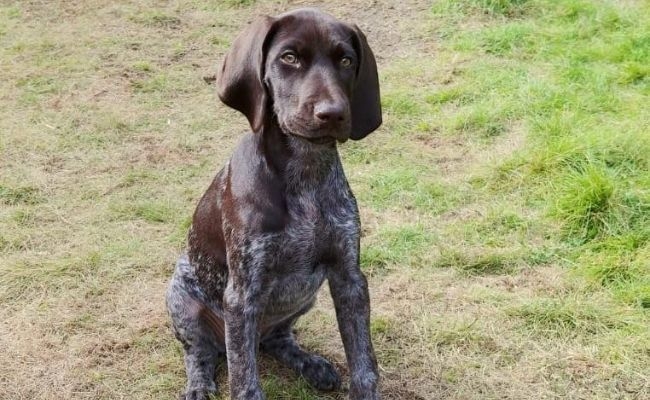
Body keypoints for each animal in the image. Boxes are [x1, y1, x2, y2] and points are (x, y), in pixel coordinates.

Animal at [165, 7, 382, 400]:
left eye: (346, 60)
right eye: (289, 57)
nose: (332, 113)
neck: (305, 174)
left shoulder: (349, 277)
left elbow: (364, 363)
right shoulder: (242, 296)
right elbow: (245, 383)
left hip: (303, 298)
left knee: (276, 339)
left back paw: (310, 364)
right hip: (180, 297)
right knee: (200, 352)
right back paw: (199, 384)